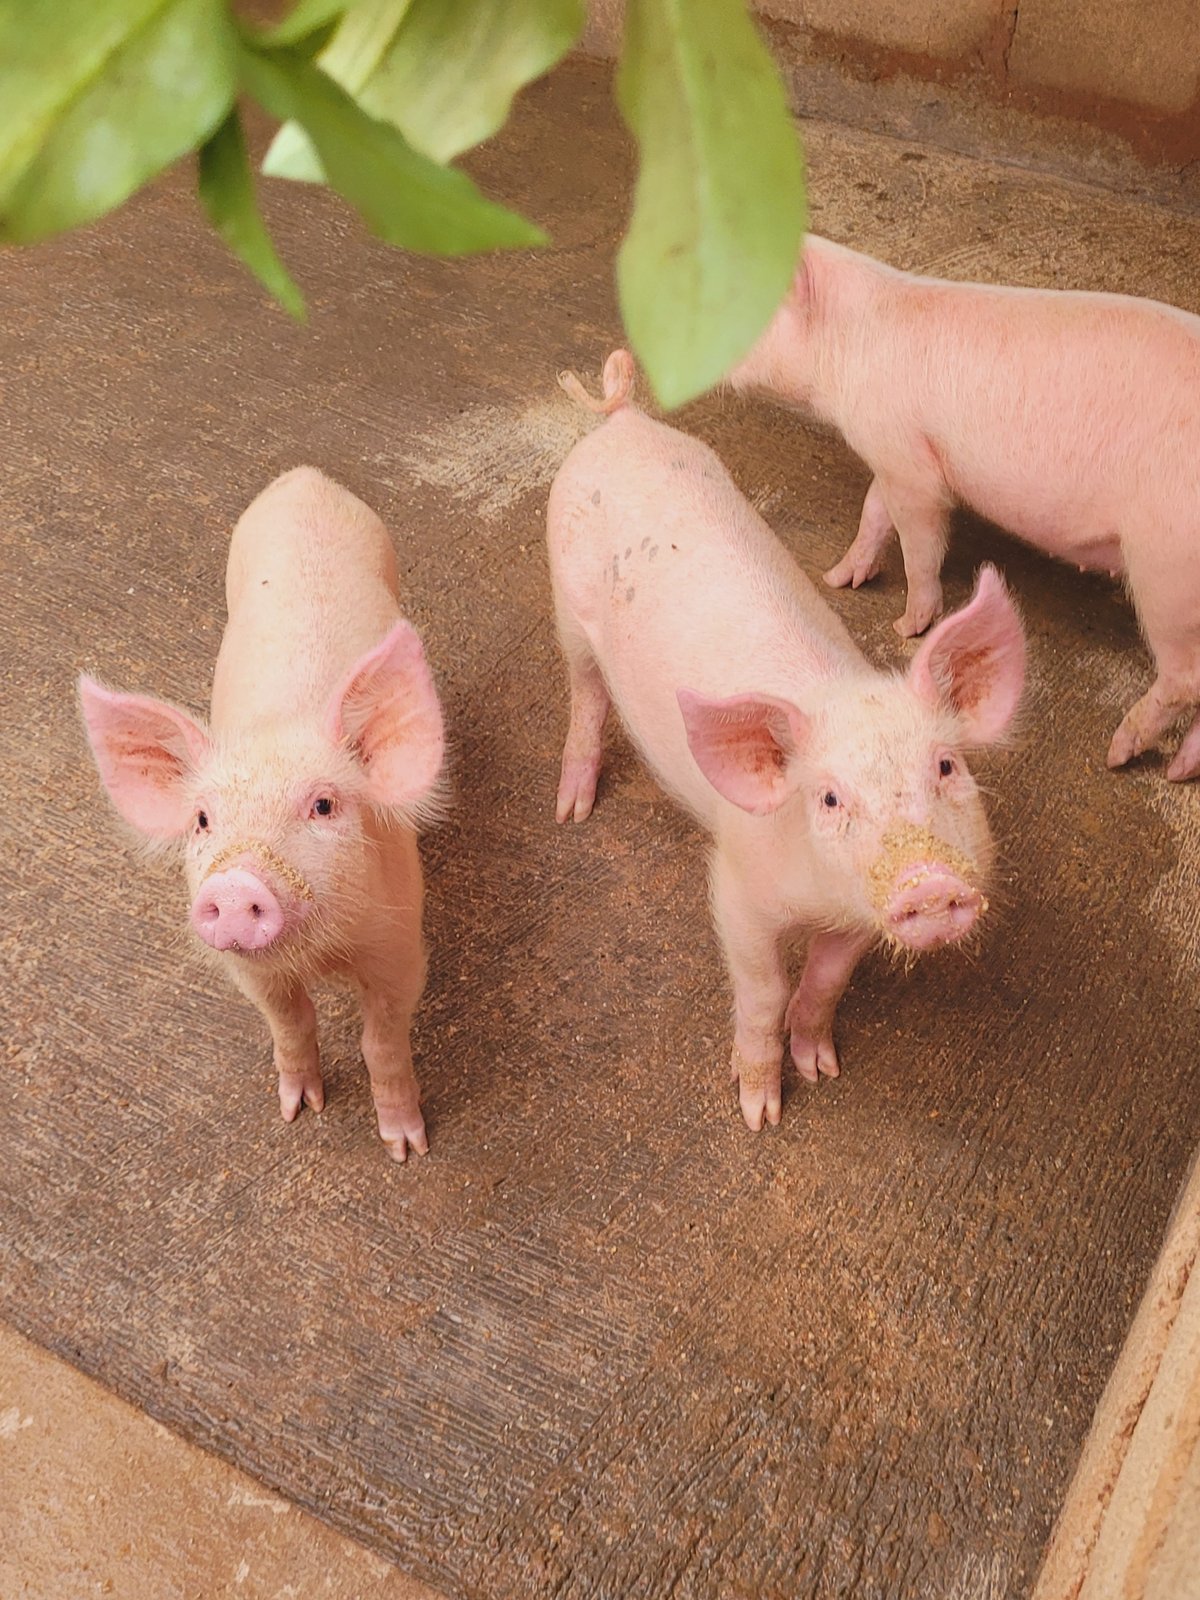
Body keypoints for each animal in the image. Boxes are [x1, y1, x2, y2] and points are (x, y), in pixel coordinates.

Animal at [79, 467, 445, 1160]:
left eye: (324, 805)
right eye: (202, 820)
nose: (234, 883)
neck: (319, 954)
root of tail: (307, 477)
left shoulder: (399, 941)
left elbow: (382, 1042)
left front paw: (405, 1149)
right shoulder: (248, 971)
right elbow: (290, 1023)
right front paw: (299, 1111)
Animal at [549, 351, 1026, 1131]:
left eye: (947, 765)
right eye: (829, 798)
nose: (928, 883)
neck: (815, 900)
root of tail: (620, 423)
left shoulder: (859, 913)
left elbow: (827, 980)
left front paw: (821, 1066)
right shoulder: (736, 890)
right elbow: (764, 989)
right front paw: (760, 1113)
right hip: (566, 603)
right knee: (586, 692)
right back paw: (573, 811)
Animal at [728, 235, 1200, 780]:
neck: (846, 349)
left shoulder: (910, 465)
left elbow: (919, 544)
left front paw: (908, 626)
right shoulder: (893, 453)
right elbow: (874, 511)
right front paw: (839, 578)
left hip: (1167, 570)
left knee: (1184, 680)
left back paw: (1118, 754)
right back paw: (1179, 771)